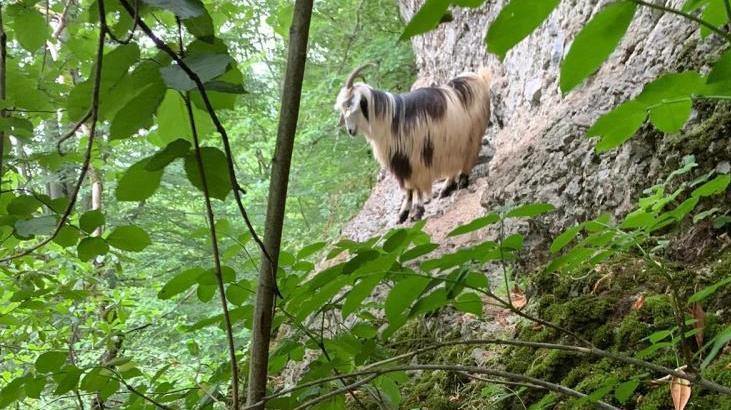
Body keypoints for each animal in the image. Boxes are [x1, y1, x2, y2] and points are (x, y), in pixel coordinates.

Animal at [336, 63, 492, 223]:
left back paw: (462, 181)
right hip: (453, 142)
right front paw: (403, 214)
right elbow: (408, 188)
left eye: (349, 104)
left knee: (469, 155)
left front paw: (417, 211)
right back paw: (446, 188)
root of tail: (479, 77)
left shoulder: (415, 157)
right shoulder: (401, 160)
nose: (350, 131)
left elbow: (416, 185)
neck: (390, 119)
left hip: (473, 134)